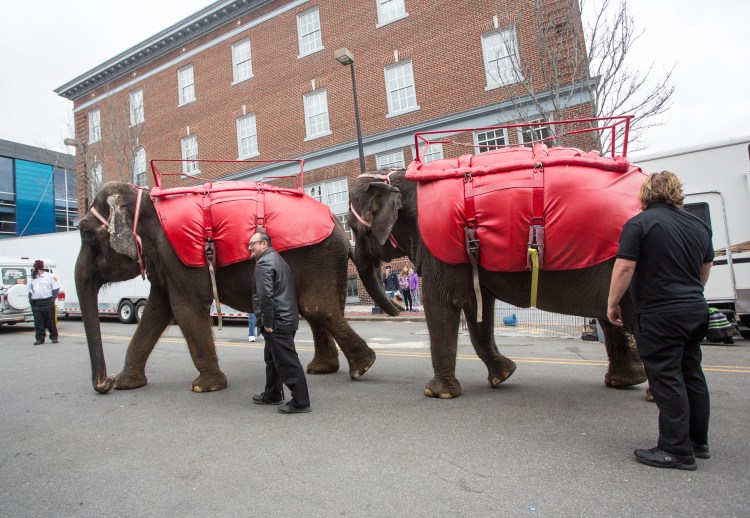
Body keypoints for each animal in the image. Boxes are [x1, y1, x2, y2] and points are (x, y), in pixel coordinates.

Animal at [76, 182, 376, 394]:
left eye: (85, 232)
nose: (105, 383)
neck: (143, 199)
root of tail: (338, 224)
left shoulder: (177, 256)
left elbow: (185, 309)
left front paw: (204, 387)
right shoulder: (164, 260)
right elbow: (157, 311)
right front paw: (126, 384)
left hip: (319, 256)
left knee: (317, 308)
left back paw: (362, 367)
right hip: (324, 260)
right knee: (315, 310)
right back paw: (323, 369)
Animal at [350, 169, 648, 400]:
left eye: (353, 226)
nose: (399, 305)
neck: (399, 177)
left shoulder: (441, 247)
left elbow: (441, 303)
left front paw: (437, 393)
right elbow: (477, 307)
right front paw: (503, 375)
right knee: (611, 317)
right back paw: (624, 382)